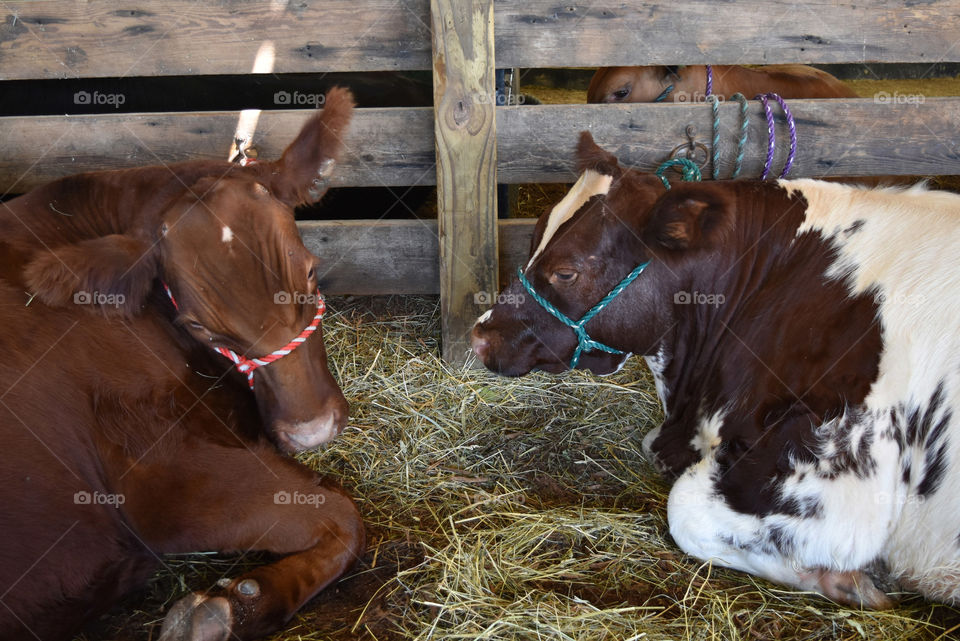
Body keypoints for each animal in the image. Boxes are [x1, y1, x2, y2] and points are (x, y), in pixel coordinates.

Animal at [0, 86, 364, 640]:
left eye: (310, 272)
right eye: (199, 327)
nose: (312, 432)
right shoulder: (163, 482)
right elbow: (344, 515)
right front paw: (228, 611)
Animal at [472, 132, 960, 608]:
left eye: (567, 272)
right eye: (534, 236)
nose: (480, 335)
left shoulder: (843, 469)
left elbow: (684, 510)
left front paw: (849, 580)